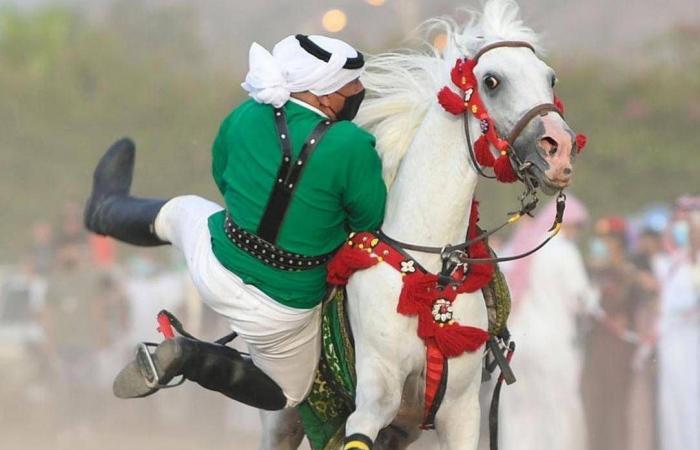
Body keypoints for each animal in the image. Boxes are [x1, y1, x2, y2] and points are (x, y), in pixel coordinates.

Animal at [260, 1, 576, 448]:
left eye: (550, 78)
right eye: (492, 81)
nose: (560, 149)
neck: (432, 273)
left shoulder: (460, 412)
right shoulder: (374, 400)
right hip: (283, 415)